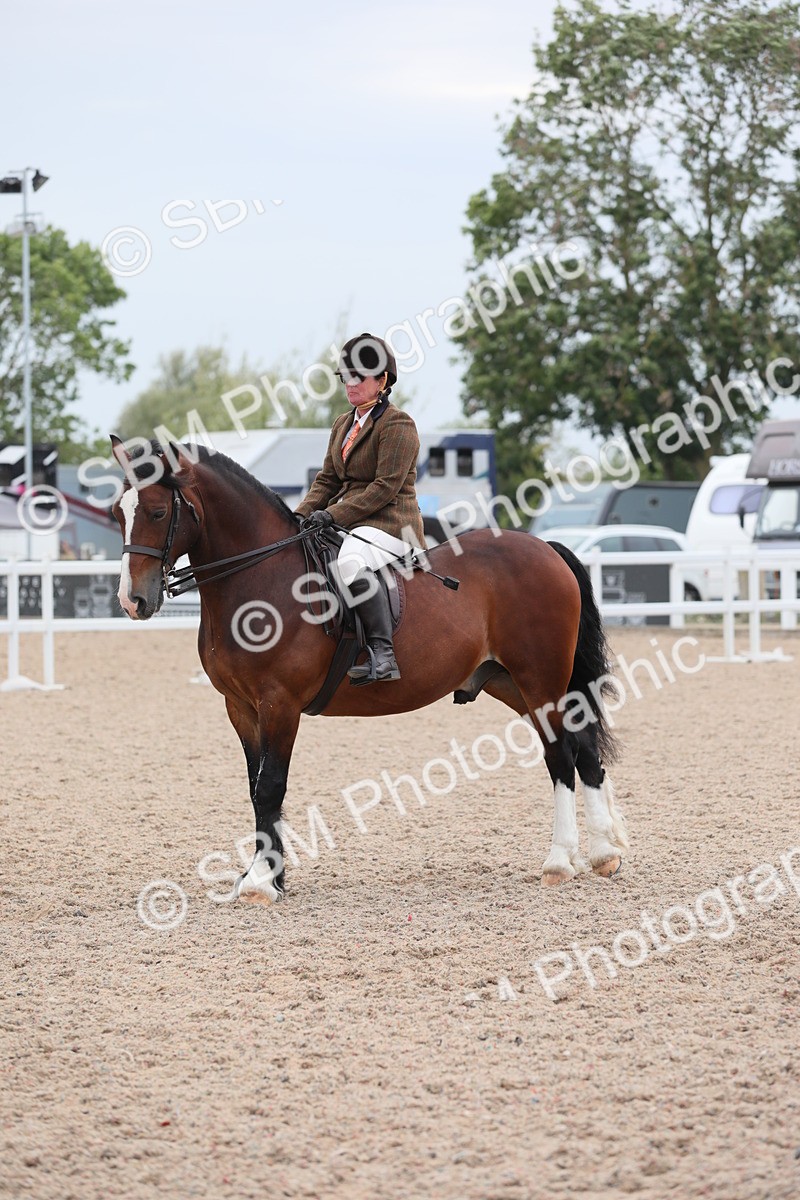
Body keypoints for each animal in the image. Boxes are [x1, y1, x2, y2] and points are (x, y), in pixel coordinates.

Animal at [110, 436, 628, 899]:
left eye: (157, 512)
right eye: (118, 511)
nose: (133, 601)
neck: (259, 580)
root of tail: (545, 548)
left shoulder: (279, 704)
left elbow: (271, 786)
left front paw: (260, 884)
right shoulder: (240, 707)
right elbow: (256, 790)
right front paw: (266, 877)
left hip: (540, 679)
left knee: (561, 755)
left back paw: (559, 862)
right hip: (515, 684)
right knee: (581, 749)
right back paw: (604, 855)